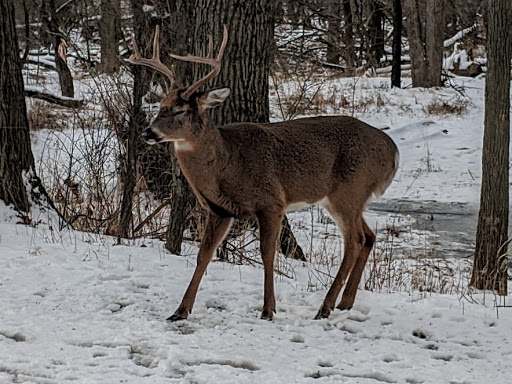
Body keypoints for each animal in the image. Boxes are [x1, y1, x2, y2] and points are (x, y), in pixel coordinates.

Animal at [128, 25, 400, 322]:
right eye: (161, 106)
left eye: (180, 110)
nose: (148, 132)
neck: (227, 164)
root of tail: (393, 152)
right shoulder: (219, 209)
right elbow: (203, 255)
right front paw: (180, 310)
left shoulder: (271, 201)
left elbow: (267, 254)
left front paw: (268, 309)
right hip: (349, 197)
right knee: (368, 237)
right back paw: (344, 303)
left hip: (348, 191)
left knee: (355, 240)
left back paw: (325, 307)